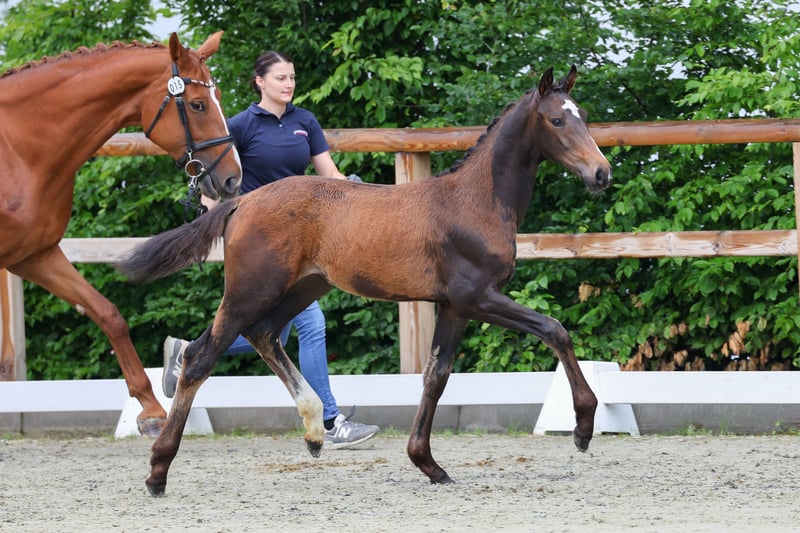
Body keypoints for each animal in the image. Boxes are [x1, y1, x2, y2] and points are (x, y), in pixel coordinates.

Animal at [0, 32, 242, 437]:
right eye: (197, 104)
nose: (232, 178)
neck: (17, 149)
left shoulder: (34, 255)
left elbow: (107, 313)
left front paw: (152, 411)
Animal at [118, 65, 611, 495]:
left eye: (584, 116)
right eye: (556, 119)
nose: (601, 173)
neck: (476, 201)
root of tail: (243, 201)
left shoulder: (453, 307)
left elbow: (436, 376)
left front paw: (427, 463)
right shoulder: (477, 297)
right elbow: (555, 330)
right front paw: (584, 427)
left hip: (304, 287)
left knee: (263, 334)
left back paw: (315, 432)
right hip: (251, 290)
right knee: (201, 356)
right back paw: (158, 470)